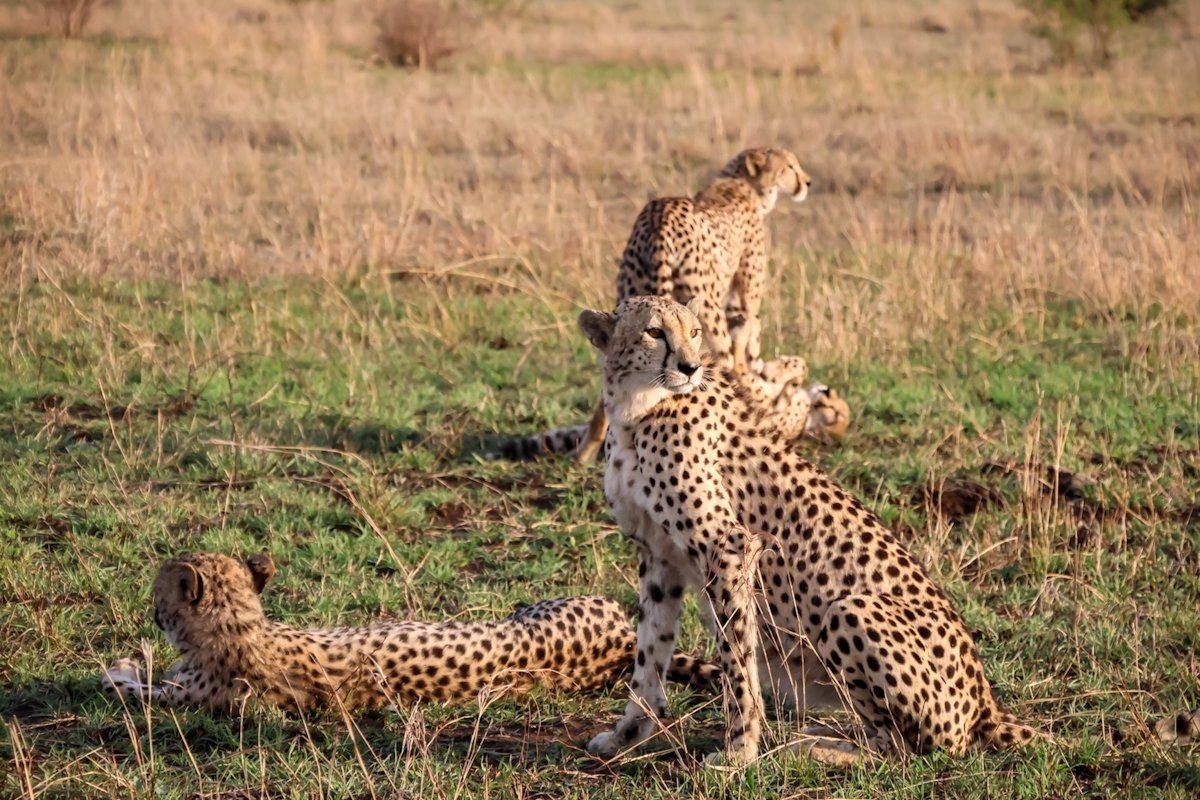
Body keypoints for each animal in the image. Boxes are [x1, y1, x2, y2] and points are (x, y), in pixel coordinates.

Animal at [101, 551, 717, 714]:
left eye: (159, 592)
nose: (152, 610)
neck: (241, 625)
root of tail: (619, 649)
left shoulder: (189, 697)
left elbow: (124, 686)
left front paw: (124, 666)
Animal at [576, 296, 1043, 766]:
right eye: (655, 332)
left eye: (694, 332)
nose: (691, 368)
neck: (636, 406)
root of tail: (986, 703)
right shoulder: (659, 556)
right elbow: (650, 650)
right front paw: (629, 732)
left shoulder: (727, 547)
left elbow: (736, 660)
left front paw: (739, 750)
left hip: (851, 610)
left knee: (900, 748)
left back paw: (812, 747)